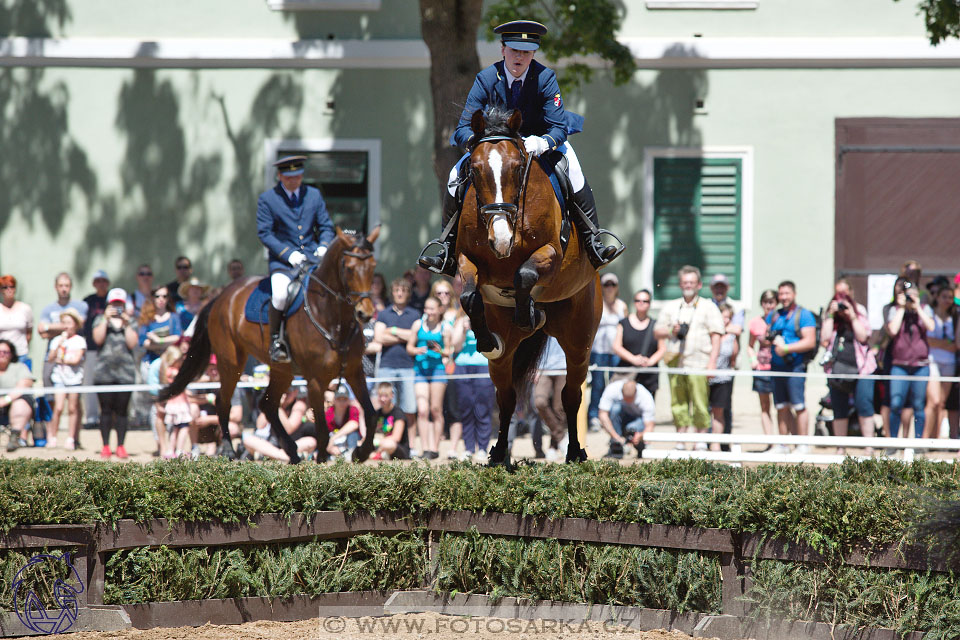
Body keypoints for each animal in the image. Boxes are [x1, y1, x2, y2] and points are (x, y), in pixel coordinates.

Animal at [158, 228, 378, 462]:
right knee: (223, 401)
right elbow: (322, 431)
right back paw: (229, 450)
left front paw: (361, 452)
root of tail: (222, 296)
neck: (333, 318)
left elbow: (371, 415)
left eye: (373, 266)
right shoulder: (315, 381)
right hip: (231, 362)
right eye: (349, 268)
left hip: (282, 370)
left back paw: (292, 452)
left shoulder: (355, 372)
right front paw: (321, 463)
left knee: (267, 403)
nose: (365, 313)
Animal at [456, 107, 600, 462]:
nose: (501, 240)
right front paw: (486, 337)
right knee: (506, 396)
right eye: (474, 170)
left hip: (579, 343)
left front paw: (528, 313)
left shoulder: (550, 253)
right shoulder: (468, 261)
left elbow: (524, 275)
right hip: (506, 355)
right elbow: (469, 296)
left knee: (571, 395)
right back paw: (497, 452)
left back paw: (574, 451)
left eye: (518, 167)